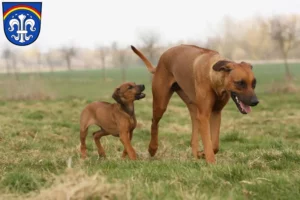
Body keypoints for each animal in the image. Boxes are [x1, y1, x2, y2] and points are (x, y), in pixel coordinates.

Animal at [131, 44, 260, 163]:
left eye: (254, 84)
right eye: (240, 83)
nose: (255, 101)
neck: (213, 76)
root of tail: (160, 60)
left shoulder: (216, 112)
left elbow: (215, 145)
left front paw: (203, 154)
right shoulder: (204, 115)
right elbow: (208, 142)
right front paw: (211, 162)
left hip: (192, 105)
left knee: (194, 129)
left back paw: (195, 155)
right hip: (161, 102)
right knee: (154, 122)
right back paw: (152, 148)